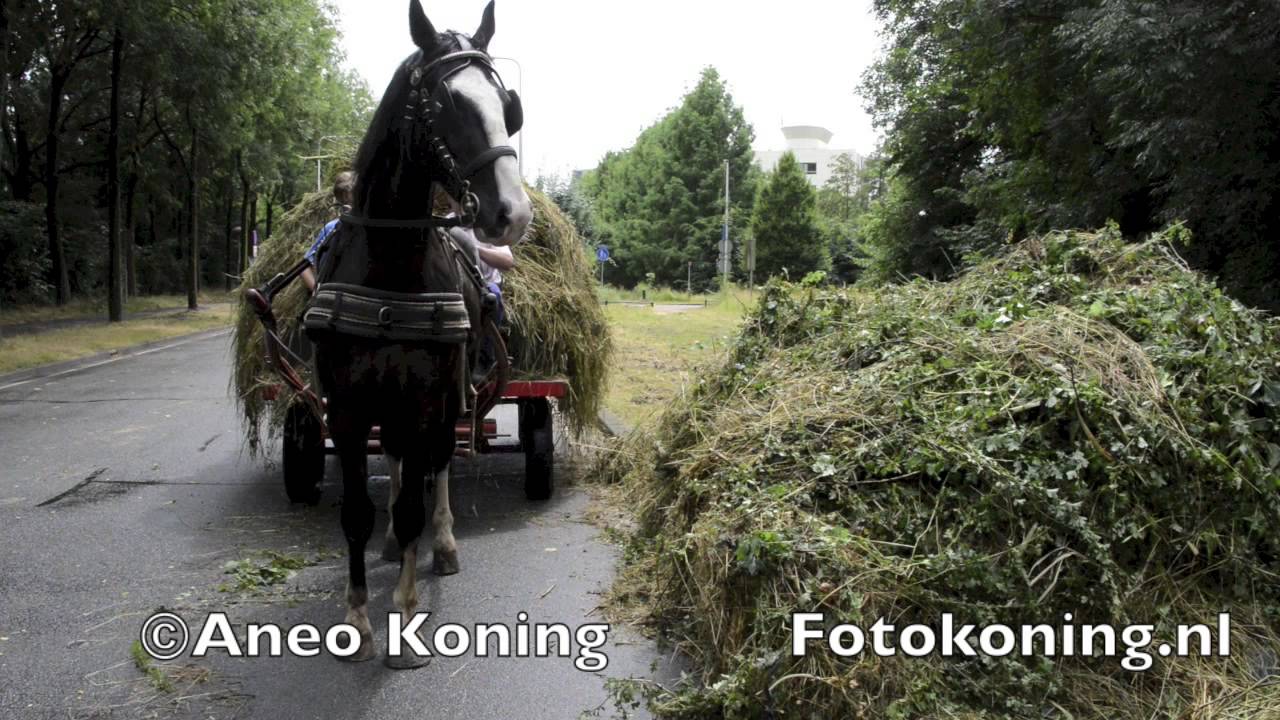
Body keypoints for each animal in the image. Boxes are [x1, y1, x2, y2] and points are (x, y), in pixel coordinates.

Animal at [303, 0, 532, 668]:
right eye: (446, 102)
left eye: (505, 102)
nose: (512, 212)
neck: (390, 264)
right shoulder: (348, 406)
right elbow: (358, 510)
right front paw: (357, 614)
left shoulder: (429, 398)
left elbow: (413, 506)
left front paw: (405, 620)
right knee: (404, 462)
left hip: (445, 396)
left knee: (437, 466)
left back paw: (444, 543)